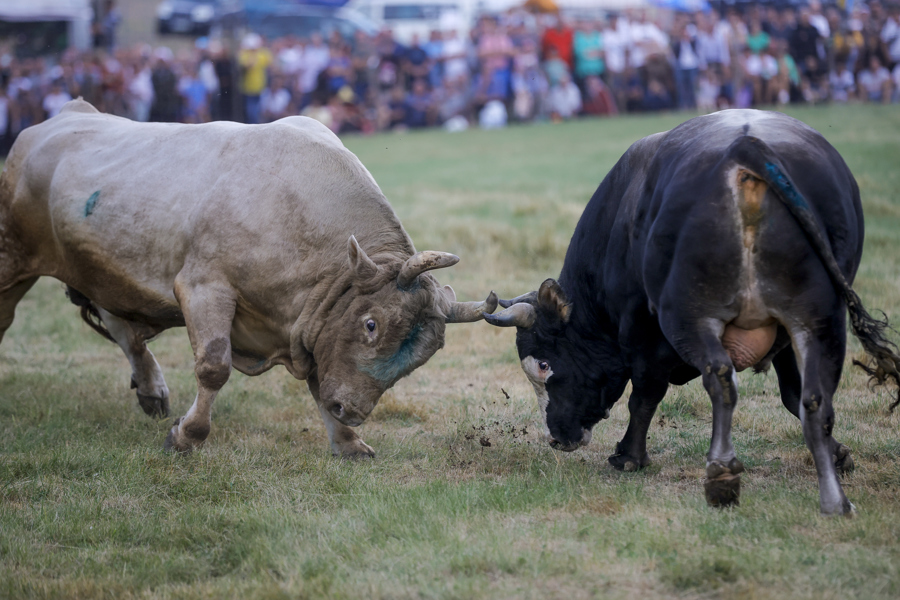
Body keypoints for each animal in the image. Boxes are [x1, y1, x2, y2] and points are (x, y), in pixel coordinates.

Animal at [488, 109, 900, 516]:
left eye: (544, 365)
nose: (557, 438)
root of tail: (746, 145)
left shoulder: (644, 335)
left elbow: (644, 396)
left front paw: (628, 456)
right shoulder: (785, 334)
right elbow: (792, 394)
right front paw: (838, 455)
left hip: (690, 319)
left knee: (720, 379)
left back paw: (721, 474)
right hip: (819, 321)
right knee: (815, 399)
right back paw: (834, 500)